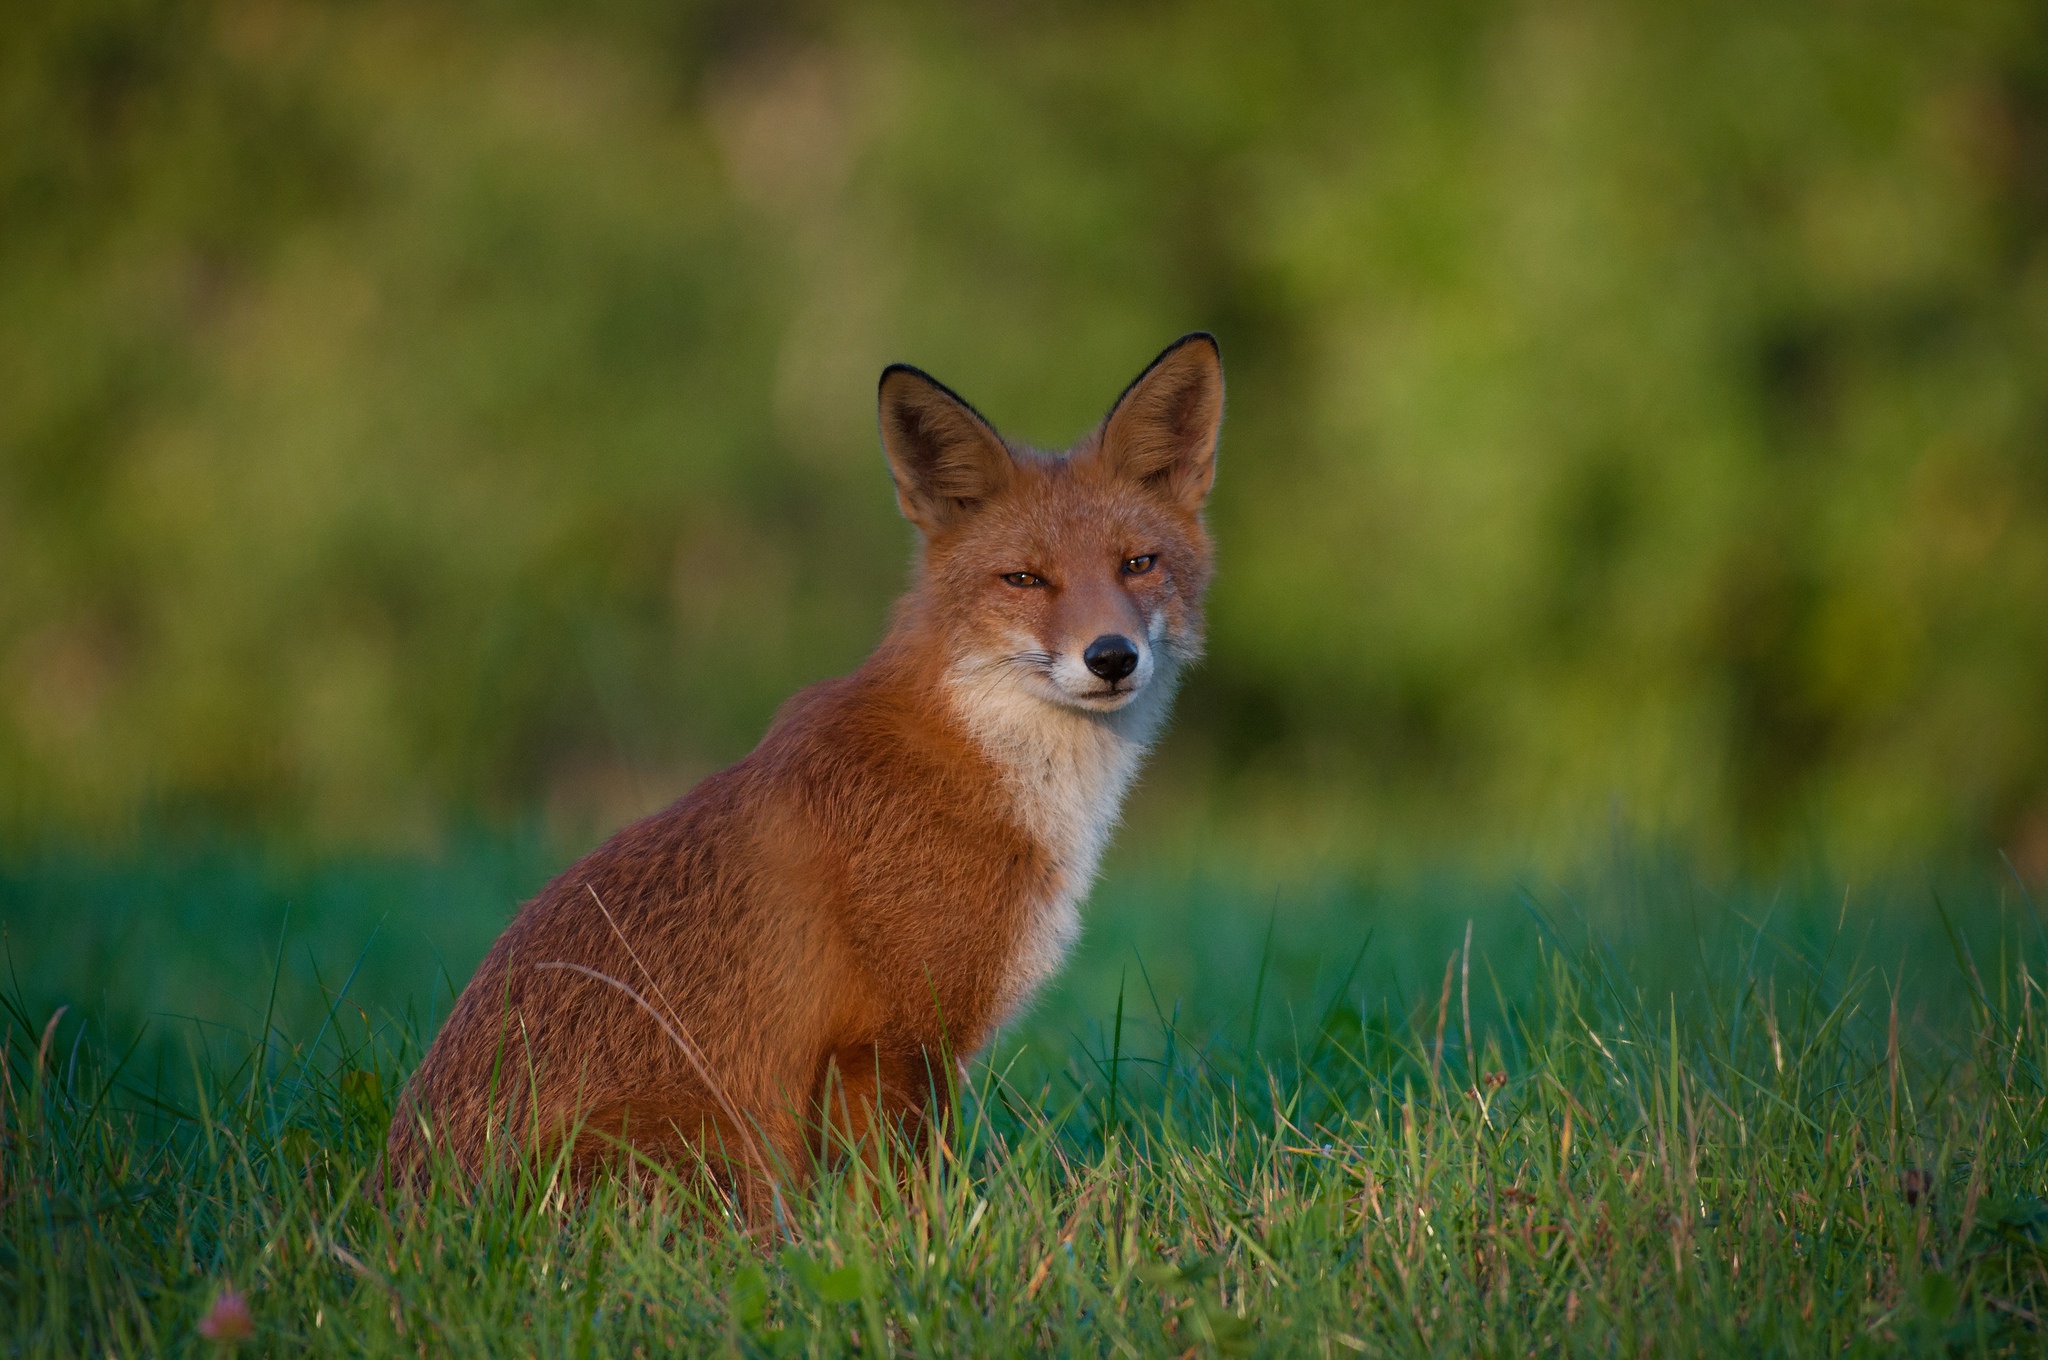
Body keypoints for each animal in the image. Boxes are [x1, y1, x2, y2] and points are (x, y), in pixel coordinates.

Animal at [380, 331, 1212, 1220]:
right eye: (1025, 579)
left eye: (1138, 564)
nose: (1112, 656)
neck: (994, 768)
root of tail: (398, 1203)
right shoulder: (889, 1038)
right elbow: (904, 1201)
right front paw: (915, 1243)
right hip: (722, 1146)